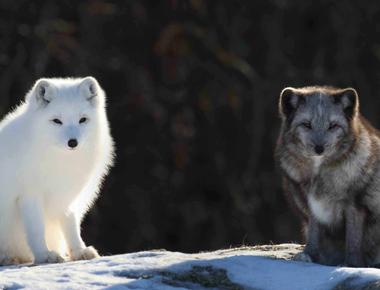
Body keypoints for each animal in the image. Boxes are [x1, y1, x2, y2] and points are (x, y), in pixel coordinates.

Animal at [0, 76, 114, 264]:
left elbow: (71, 225)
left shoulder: (67, 197)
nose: (73, 142)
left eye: (83, 119)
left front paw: (79, 250)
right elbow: (36, 230)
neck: (60, 161)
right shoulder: (29, 195)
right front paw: (44, 255)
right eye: (57, 121)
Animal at [276, 86, 380, 268]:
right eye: (306, 124)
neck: (319, 174)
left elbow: (353, 239)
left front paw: (352, 264)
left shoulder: (355, 203)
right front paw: (309, 255)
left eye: (333, 126)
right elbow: (313, 233)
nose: (319, 148)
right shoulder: (310, 203)